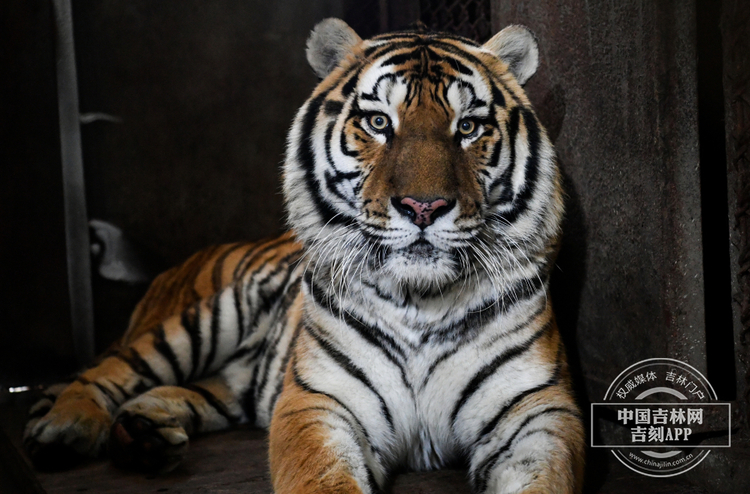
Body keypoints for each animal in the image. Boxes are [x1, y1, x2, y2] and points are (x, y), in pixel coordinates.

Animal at [23, 18, 588, 494]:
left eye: (468, 128)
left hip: (237, 381)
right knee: (110, 369)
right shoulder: (319, 401)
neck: (421, 302)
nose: (422, 207)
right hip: (203, 320)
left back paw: (145, 433)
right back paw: (67, 427)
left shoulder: (537, 408)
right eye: (378, 122)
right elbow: (321, 477)